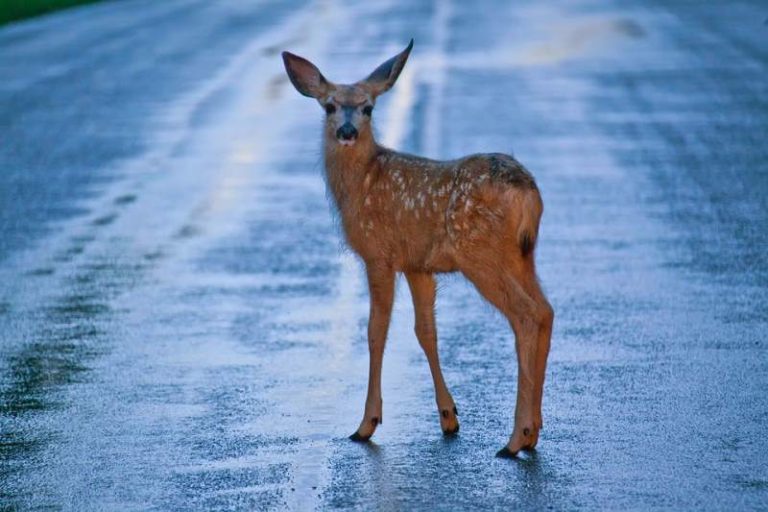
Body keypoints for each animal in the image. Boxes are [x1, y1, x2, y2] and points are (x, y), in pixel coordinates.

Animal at [282, 39, 552, 456]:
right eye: (329, 106)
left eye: (368, 107)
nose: (346, 130)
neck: (361, 185)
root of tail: (527, 192)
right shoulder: (417, 264)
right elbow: (426, 331)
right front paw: (449, 418)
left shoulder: (379, 253)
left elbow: (376, 331)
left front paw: (366, 424)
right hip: (523, 254)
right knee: (546, 311)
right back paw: (533, 432)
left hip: (481, 252)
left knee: (527, 315)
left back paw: (515, 438)